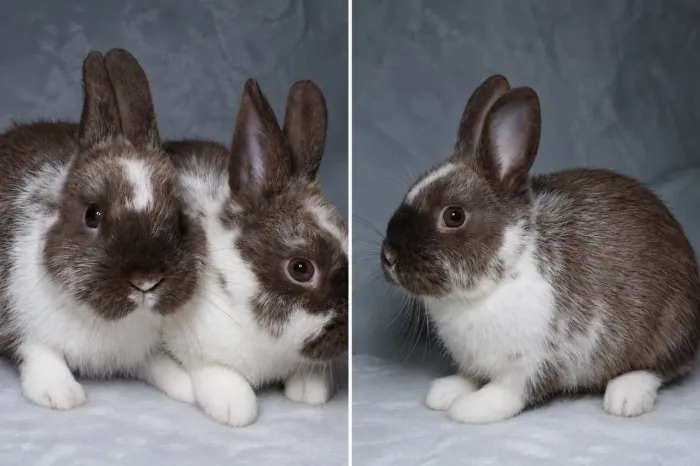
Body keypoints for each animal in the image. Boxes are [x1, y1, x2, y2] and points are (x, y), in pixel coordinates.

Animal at [0, 48, 206, 410]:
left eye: (180, 219)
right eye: (92, 215)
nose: (146, 281)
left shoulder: (142, 350)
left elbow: (158, 364)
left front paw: (187, 386)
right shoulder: (19, 322)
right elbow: (39, 351)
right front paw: (60, 394)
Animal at [380, 74, 700, 424]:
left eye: (454, 216)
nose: (389, 258)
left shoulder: (535, 360)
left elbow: (509, 391)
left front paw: (471, 409)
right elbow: (472, 376)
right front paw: (447, 391)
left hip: (668, 327)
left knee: (662, 367)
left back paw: (626, 396)